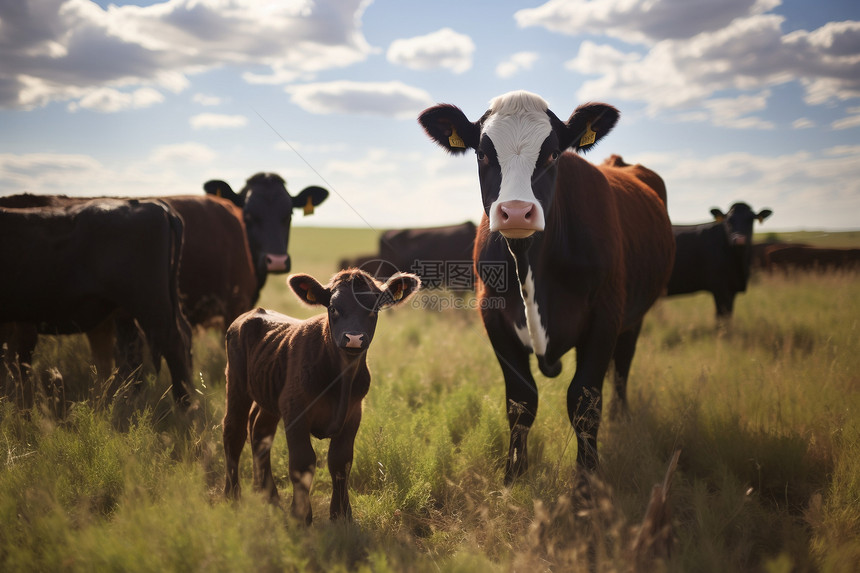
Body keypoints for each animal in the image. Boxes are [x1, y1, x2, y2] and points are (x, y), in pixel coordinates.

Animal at [223, 268, 422, 524]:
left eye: (374, 308)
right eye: (333, 308)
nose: (354, 338)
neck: (341, 379)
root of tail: (252, 313)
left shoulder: (353, 413)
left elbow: (341, 461)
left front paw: (342, 514)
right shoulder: (295, 410)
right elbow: (302, 462)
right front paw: (300, 516)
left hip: (268, 392)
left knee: (260, 432)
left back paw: (270, 496)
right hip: (236, 381)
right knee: (233, 431)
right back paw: (232, 496)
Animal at [420, 91, 676, 480]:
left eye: (554, 153)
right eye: (482, 154)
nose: (515, 211)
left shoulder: (606, 315)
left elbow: (585, 402)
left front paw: (587, 482)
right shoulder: (493, 317)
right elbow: (521, 400)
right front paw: (513, 476)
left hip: (634, 315)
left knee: (622, 367)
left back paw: (623, 418)